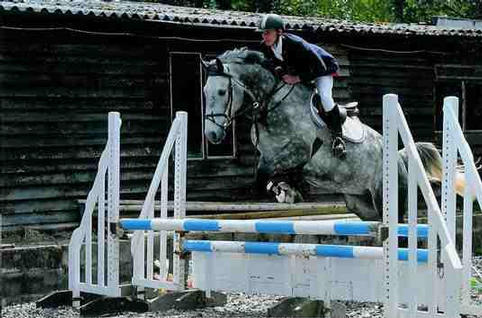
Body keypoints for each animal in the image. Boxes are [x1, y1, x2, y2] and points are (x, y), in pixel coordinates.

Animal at [201, 47, 464, 221]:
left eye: (222, 91)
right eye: (205, 91)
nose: (212, 134)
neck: (273, 102)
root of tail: (399, 158)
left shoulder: (297, 152)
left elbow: (263, 175)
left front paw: (289, 190)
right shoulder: (269, 155)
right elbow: (265, 175)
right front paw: (286, 190)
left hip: (387, 197)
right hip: (362, 204)